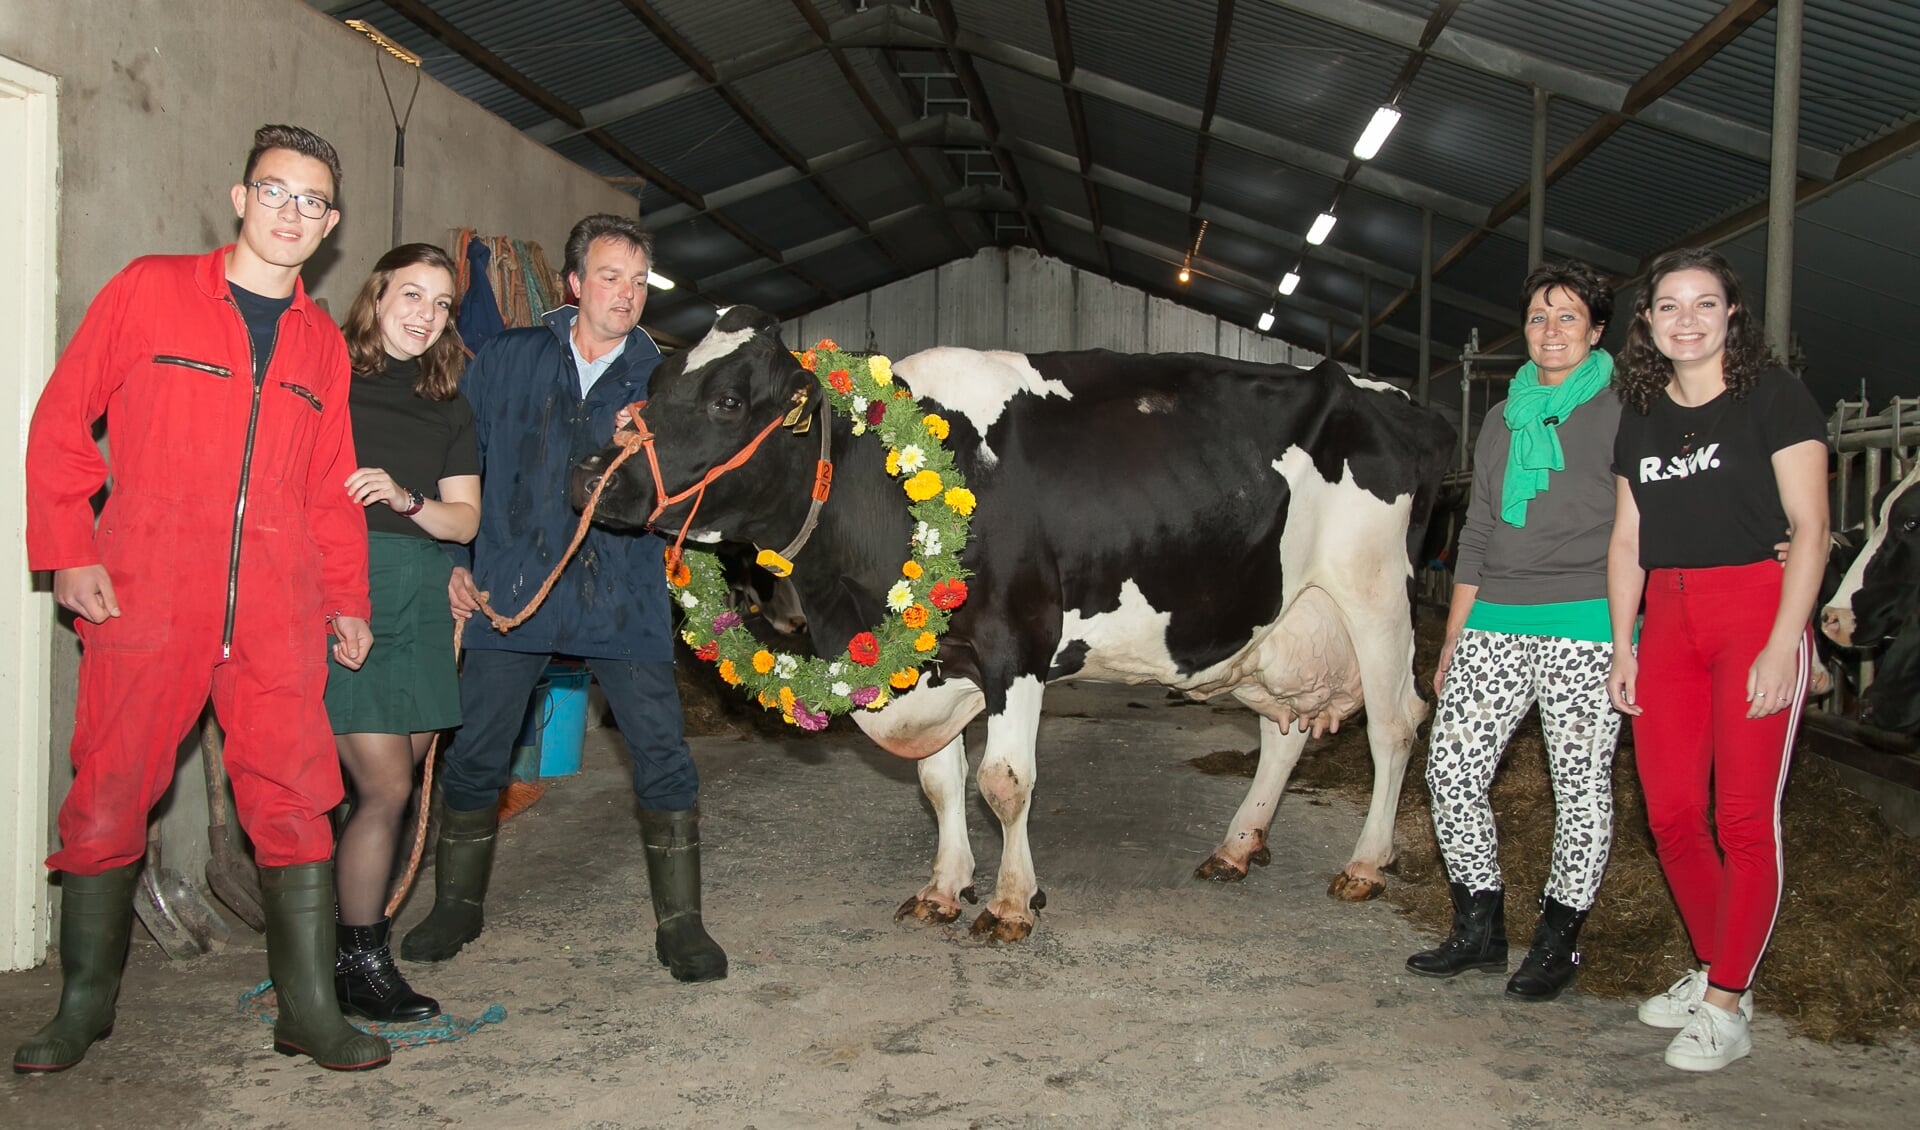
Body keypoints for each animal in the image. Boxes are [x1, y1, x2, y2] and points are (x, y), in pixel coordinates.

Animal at [579, 303, 1451, 940]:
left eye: (727, 401)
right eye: (651, 382)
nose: (589, 474)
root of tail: (1398, 399)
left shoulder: (1017, 644)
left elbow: (1003, 781)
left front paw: (1009, 902)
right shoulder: (928, 661)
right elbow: (939, 782)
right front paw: (943, 888)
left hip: (1375, 593)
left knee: (1395, 724)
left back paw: (1366, 865)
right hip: (1282, 622)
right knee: (1285, 732)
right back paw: (1237, 847)